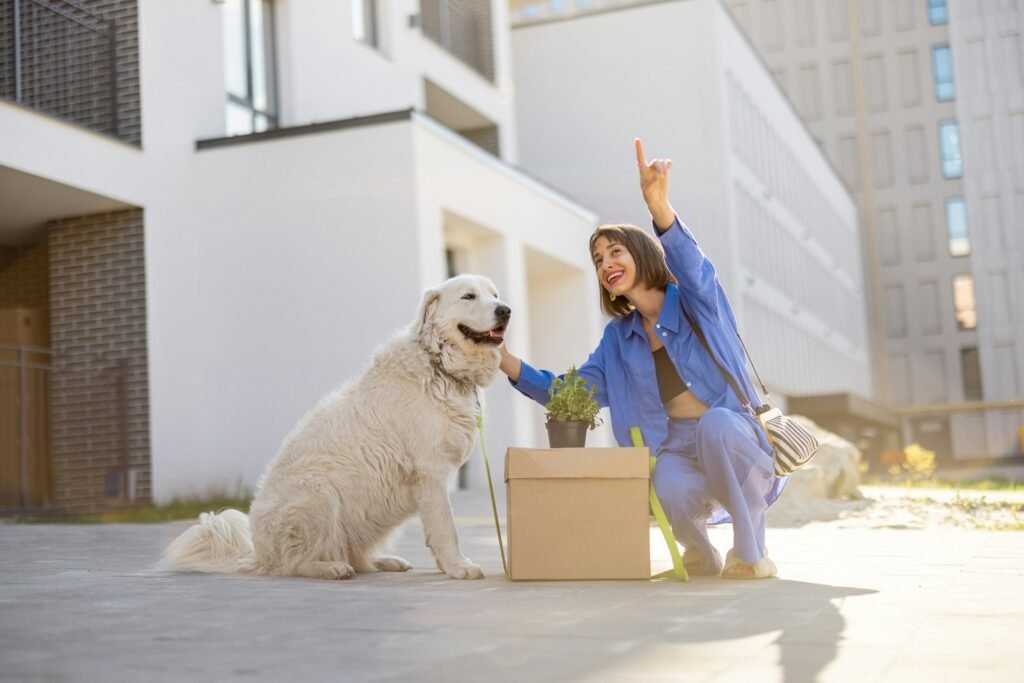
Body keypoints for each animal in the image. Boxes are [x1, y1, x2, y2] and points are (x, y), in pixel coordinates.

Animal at [159, 274, 507, 581]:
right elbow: (447, 528)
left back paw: (383, 561)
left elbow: (438, 529)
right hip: (318, 493)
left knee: (352, 553)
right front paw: (459, 567)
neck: (441, 365)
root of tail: (258, 553)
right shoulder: (431, 472)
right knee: (295, 563)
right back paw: (330, 568)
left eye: (495, 294)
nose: (505, 310)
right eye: (468, 296)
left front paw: (447, 565)